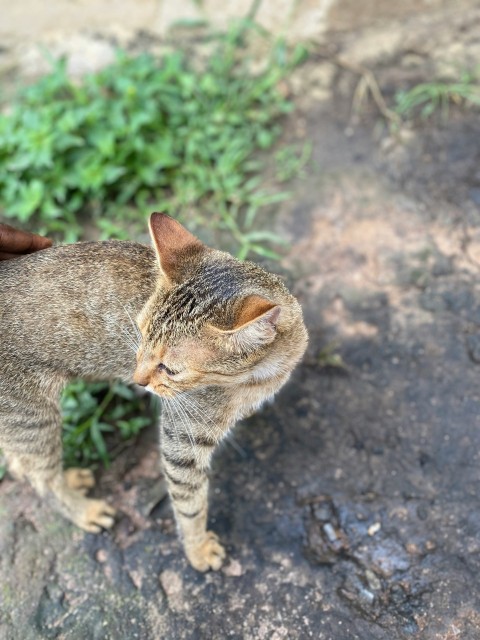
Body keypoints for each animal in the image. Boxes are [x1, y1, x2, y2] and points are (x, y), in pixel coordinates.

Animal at [0, 214, 308, 568]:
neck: (261, 375)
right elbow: (190, 505)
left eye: (171, 369)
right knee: (42, 478)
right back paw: (84, 509)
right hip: (31, 417)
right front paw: (198, 549)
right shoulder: (183, 442)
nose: (137, 380)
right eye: (141, 332)